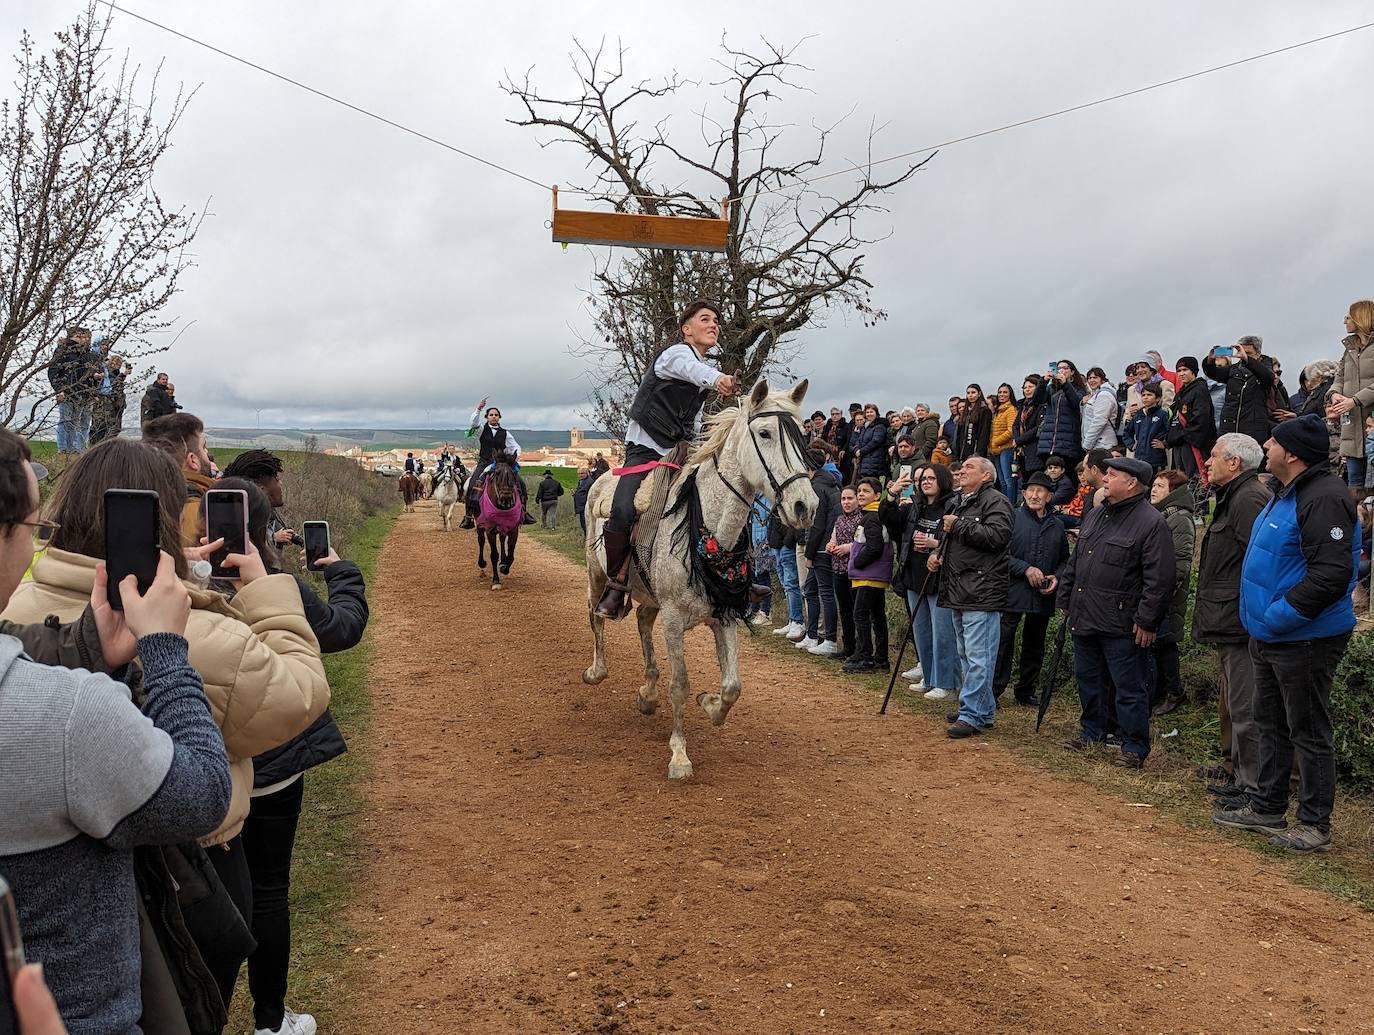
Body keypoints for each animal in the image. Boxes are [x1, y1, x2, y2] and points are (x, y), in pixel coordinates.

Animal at [469, 456, 516, 585]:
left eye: (513, 473)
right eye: (497, 473)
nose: (506, 497)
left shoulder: (513, 529)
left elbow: (511, 554)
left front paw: (505, 567)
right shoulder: (490, 529)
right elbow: (494, 554)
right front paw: (496, 580)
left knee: (502, 539)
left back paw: (503, 561)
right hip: (480, 524)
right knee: (481, 540)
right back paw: (481, 563)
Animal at [582, 376, 813, 775]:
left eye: (801, 435)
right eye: (765, 433)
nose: (806, 506)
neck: (707, 526)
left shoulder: (725, 614)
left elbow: (733, 686)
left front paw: (709, 704)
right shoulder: (674, 619)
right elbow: (680, 685)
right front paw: (679, 754)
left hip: (649, 595)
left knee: (642, 622)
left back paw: (647, 693)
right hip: (597, 574)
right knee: (596, 617)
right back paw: (597, 671)